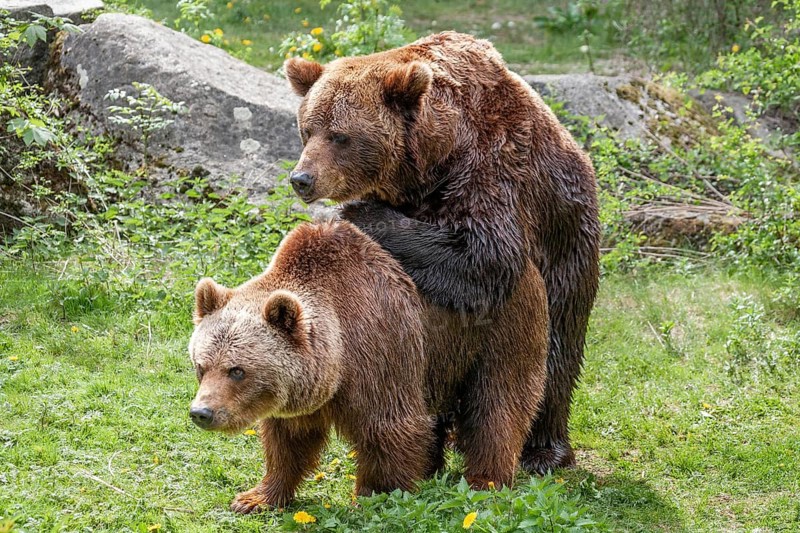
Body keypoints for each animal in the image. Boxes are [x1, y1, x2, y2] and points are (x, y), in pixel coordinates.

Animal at [188, 220, 549, 513]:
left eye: (237, 370)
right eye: (201, 366)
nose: (201, 412)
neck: (338, 355)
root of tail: (527, 261)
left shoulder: (379, 345)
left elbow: (387, 428)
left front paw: (373, 495)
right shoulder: (304, 391)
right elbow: (288, 441)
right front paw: (254, 497)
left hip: (499, 328)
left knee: (498, 403)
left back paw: (485, 480)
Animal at [283, 31, 601, 473]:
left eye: (340, 136)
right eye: (306, 129)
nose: (302, 178)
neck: (432, 159)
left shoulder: (491, 164)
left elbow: (486, 256)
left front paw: (356, 211)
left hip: (567, 240)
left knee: (557, 351)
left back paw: (543, 450)